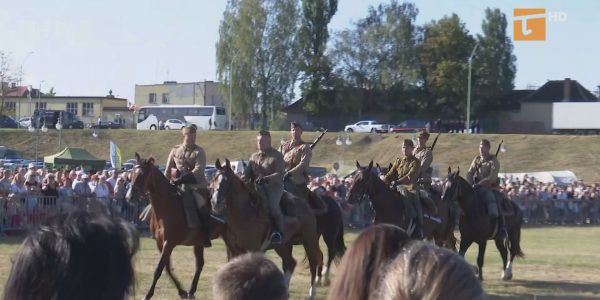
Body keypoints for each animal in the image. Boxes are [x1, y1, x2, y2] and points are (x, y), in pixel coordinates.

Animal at [126, 154, 220, 298]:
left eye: (142, 175)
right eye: (131, 174)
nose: (129, 196)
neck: (168, 205)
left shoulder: (169, 243)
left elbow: (159, 269)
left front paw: (148, 294)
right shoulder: (160, 243)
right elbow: (167, 268)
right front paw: (182, 291)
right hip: (198, 243)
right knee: (199, 264)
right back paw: (191, 291)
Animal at [211, 159, 324, 298]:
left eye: (226, 181)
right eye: (214, 178)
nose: (214, 202)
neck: (244, 213)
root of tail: (306, 206)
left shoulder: (252, 248)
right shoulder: (232, 250)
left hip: (309, 240)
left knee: (313, 262)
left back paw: (312, 293)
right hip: (283, 245)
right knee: (290, 263)